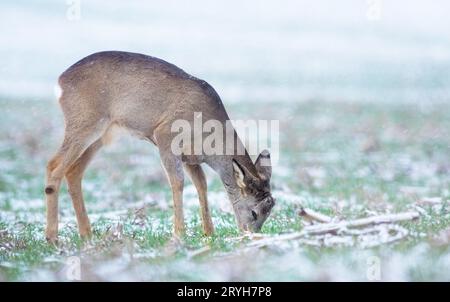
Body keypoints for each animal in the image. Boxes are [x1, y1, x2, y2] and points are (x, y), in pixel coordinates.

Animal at [44, 50, 274, 242]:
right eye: (254, 212)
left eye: (269, 211)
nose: (251, 234)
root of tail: (60, 82)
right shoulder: (166, 135)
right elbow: (178, 182)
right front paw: (179, 233)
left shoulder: (190, 158)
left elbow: (201, 184)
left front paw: (208, 233)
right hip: (85, 121)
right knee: (54, 165)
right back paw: (52, 238)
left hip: (103, 134)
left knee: (73, 170)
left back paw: (86, 234)